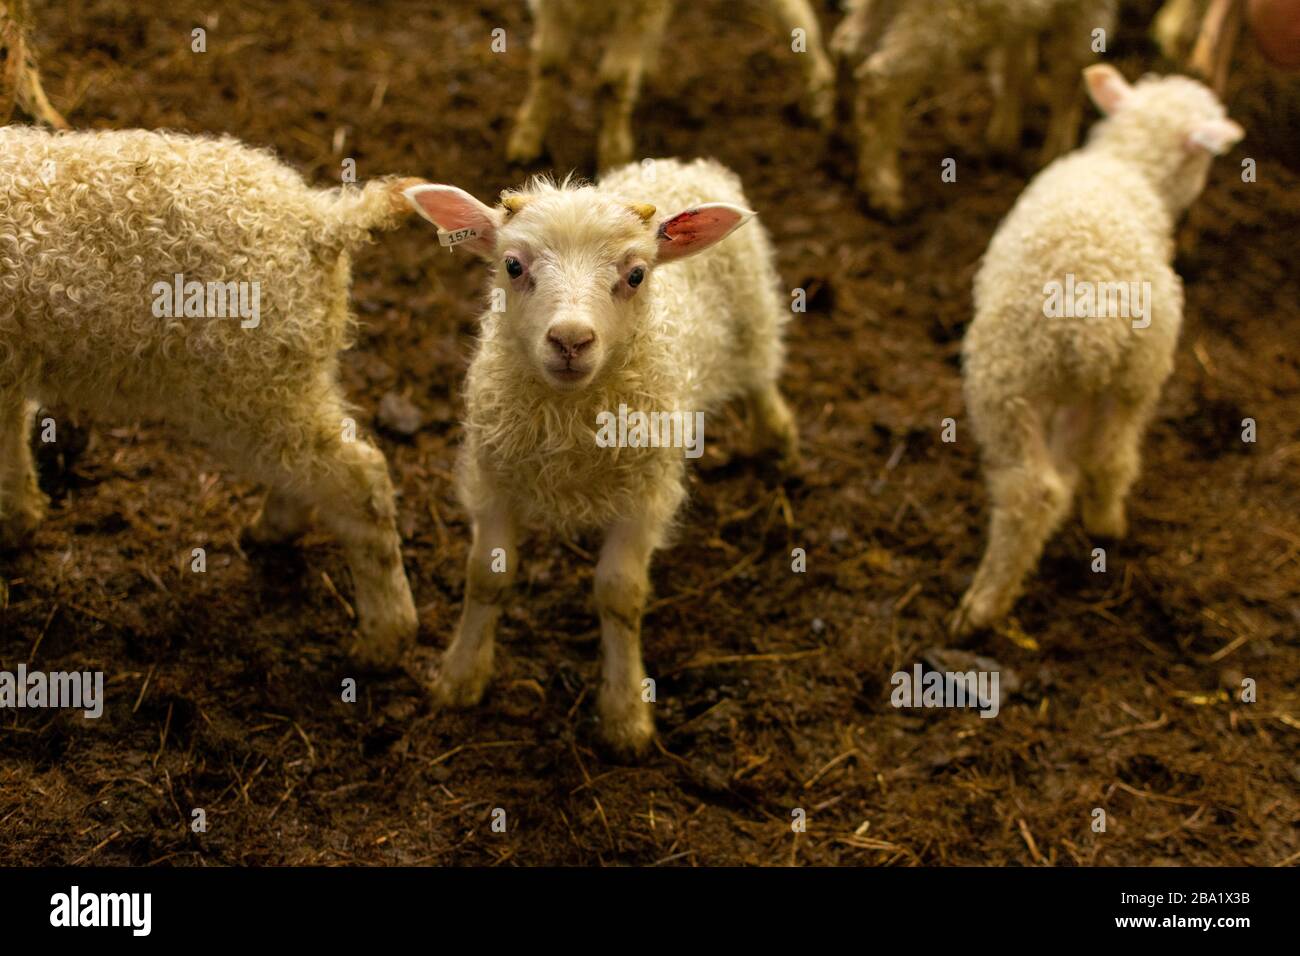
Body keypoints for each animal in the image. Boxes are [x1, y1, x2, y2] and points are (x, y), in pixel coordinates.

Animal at [0, 126, 424, 667]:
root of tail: (322, 223)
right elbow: (9, 445)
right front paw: (19, 520)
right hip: (285, 375)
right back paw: (274, 530)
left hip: (248, 383)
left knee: (358, 477)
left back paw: (384, 638)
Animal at [404, 157, 798, 758]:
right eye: (512, 265)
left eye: (635, 276)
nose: (570, 340)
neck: (571, 418)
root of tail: (686, 164)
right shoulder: (495, 478)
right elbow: (488, 577)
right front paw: (459, 677)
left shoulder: (645, 494)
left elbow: (619, 594)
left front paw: (625, 715)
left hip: (752, 317)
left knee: (760, 376)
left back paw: (777, 438)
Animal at [507, 0, 836, 171]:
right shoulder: (553, 7)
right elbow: (549, 64)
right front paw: (526, 139)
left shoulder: (636, 10)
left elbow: (614, 80)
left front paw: (613, 155)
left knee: (795, 14)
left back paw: (822, 93)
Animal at [830, 0, 1116, 216]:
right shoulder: (1088, 9)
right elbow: (1069, 75)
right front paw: (1059, 156)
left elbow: (1018, 62)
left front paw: (1003, 140)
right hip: (945, 17)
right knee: (880, 80)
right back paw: (884, 191)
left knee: (848, 45)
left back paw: (845, 135)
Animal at [951, 66, 1244, 638]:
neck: (1127, 164)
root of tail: (1095, 321)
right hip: (1134, 376)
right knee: (1109, 459)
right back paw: (1103, 525)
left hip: (1014, 381)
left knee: (1033, 492)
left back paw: (984, 605)